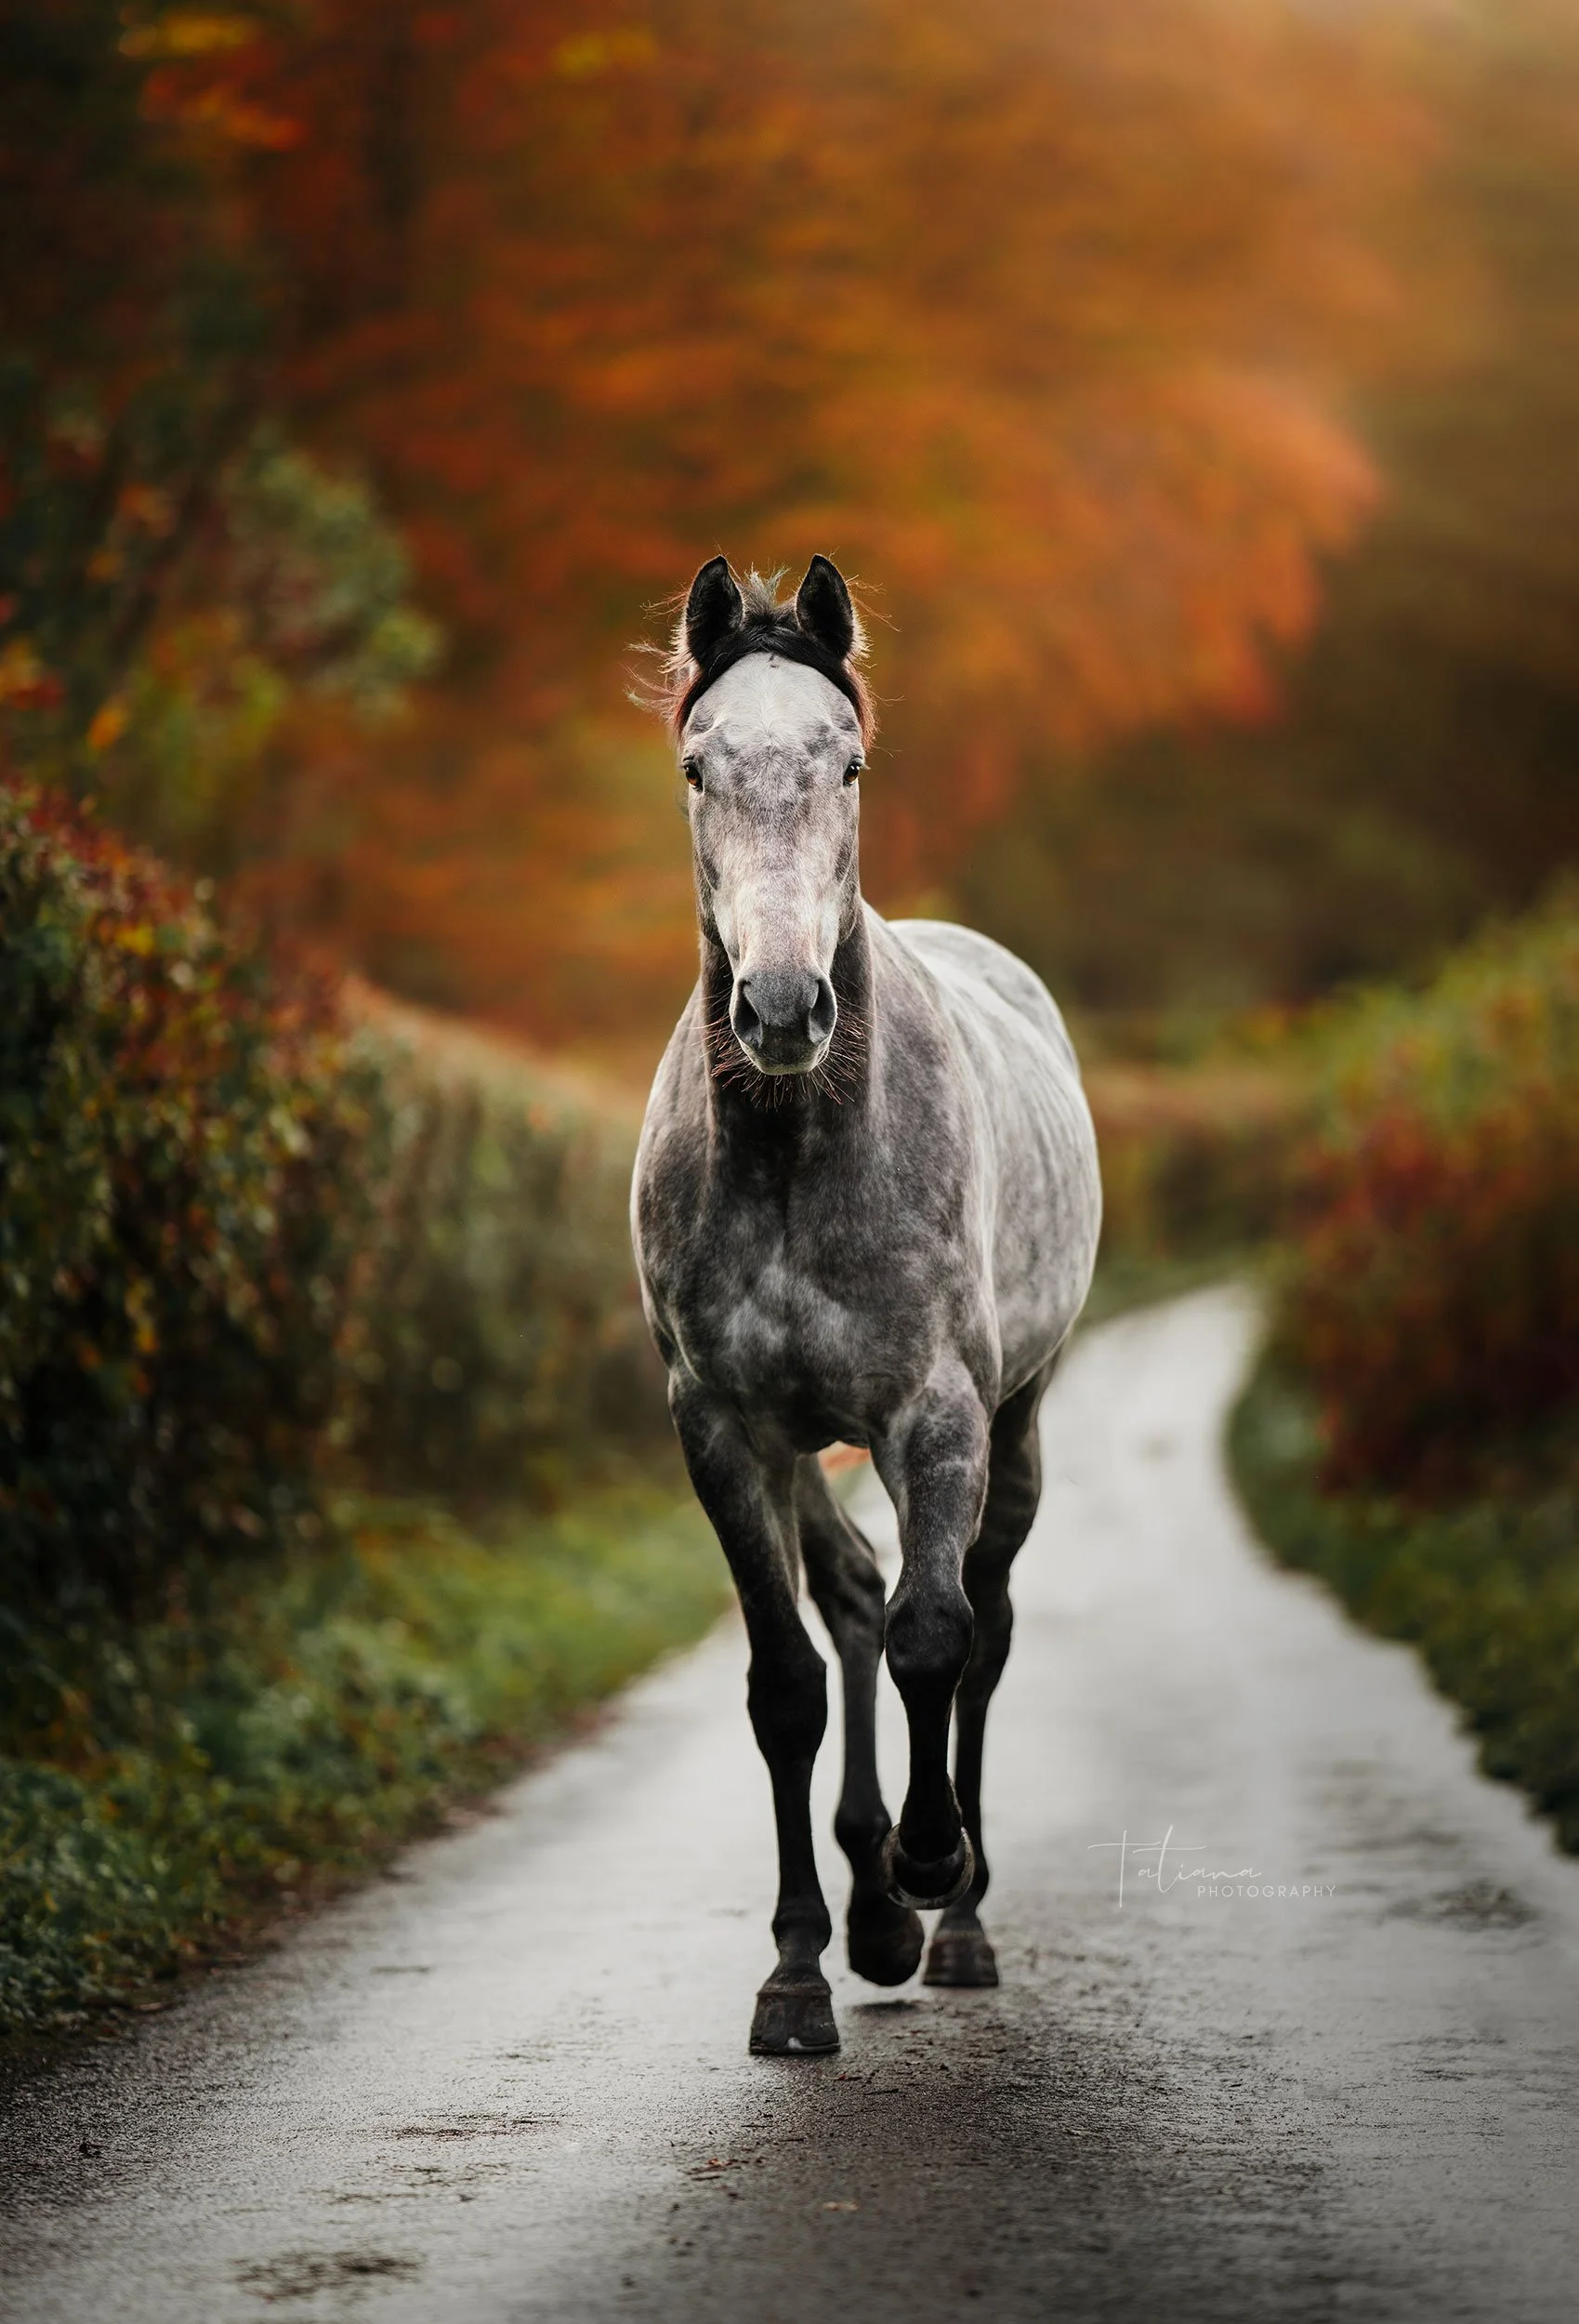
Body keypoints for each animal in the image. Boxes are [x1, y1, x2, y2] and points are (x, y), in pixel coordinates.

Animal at [632, 554, 1101, 2054]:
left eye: (846, 763)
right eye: (697, 767)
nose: (783, 1008)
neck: (794, 1151)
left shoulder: (932, 1415)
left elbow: (934, 1630)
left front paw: (930, 1860)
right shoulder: (723, 1429)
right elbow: (784, 1678)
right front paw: (796, 1971)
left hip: (1016, 1419)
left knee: (979, 1623)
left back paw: (944, 1920)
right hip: (797, 1446)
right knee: (844, 1598)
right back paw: (867, 1911)